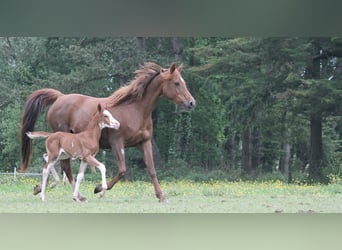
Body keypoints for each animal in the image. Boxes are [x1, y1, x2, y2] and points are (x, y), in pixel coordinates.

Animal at [20, 63, 195, 203]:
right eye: (177, 83)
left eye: (184, 82)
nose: (192, 102)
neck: (136, 110)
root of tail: (59, 97)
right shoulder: (117, 143)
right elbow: (122, 170)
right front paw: (99, 189)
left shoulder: (144, 143)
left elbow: (152, 170)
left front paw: (161, 196)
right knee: (64, 166)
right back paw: (73, 193)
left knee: (58, 164)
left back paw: (47, 188)